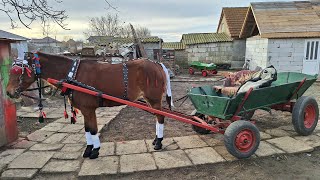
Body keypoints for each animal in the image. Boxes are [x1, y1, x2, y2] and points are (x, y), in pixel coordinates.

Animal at [6, 51, 171, 159]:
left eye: (19, 71)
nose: (8, 92)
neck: (72, 75)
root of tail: (157, 64)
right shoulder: (85, 110)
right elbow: (87, 130)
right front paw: (88, 150)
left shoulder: (89, 109)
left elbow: (92, 130)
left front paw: (95, 151)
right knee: (158, 118)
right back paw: (156, 140)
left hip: (154, 99)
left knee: (160, 118)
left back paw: (159, 142)